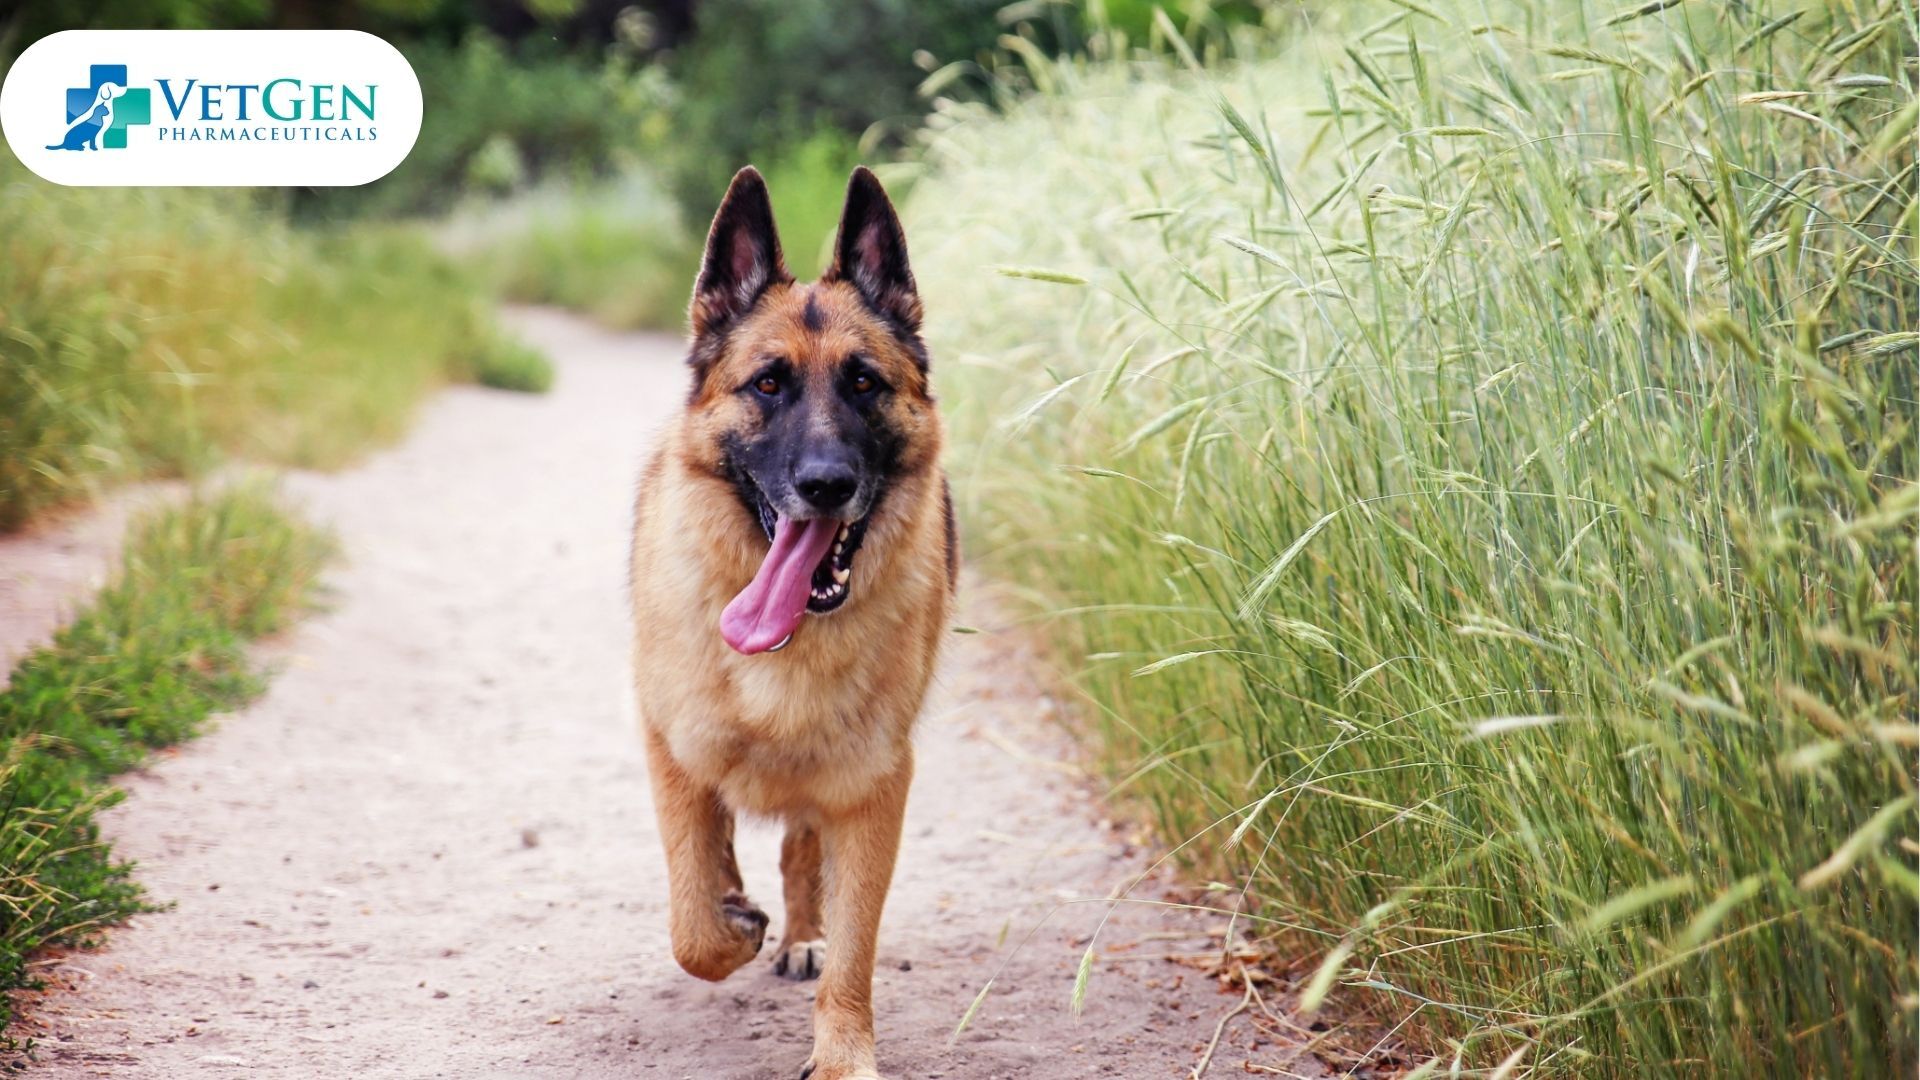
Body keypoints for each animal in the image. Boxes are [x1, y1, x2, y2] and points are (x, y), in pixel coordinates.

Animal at [629, 168, 952, 1076]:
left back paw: (801, 931)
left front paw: (844, 1054)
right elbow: (694, 919)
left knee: (801, 854)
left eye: (865, 384)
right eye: (767, 384)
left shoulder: (873, 790)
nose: (826, 484)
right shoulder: (672, 752)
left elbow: (854, 945)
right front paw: (731, 919)